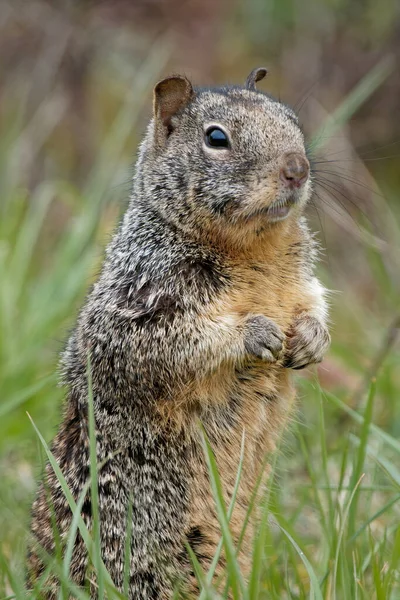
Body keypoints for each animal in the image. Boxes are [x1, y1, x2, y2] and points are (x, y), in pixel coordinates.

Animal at [28, 68, 332, 596]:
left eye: (291, 119)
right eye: (216, 138)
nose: (297, 169)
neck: (255, 250)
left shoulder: (301, 281)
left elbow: (314, 299)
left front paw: (311, 338)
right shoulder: (138, 299)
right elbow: (162, 344)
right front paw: (255, 333)